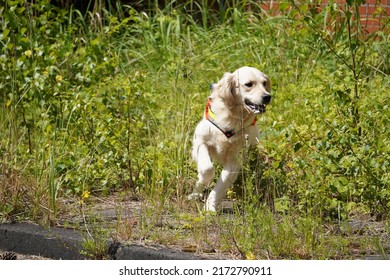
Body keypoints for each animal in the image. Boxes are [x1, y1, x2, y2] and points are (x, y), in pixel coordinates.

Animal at [189, 66, 272, 212]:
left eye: (264, 83)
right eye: (249, 84)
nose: (267, 96)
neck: (232, 118)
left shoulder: (235, 159)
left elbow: (221, 185)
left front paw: (210, 206)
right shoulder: (200, 140)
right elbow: (207, 169)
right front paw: (205, 181)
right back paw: (195, 193)